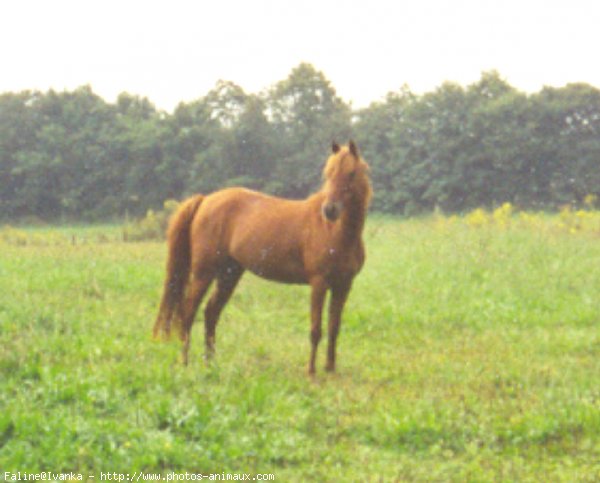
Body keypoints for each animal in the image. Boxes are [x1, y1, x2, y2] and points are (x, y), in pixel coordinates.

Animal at [151, 140, 370, 374]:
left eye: (351, 173)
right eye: (328, 174)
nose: (329, 210)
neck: (335, 232)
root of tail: (205, 199)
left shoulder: (343, 285)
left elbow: (334, 328)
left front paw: (330, 370)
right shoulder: (319, 283)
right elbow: (316, 329)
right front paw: (311, 372)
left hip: (229, 274)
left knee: (211, 312)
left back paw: (210, 362)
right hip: (204, 273)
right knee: (188, 312)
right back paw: (185, 362)